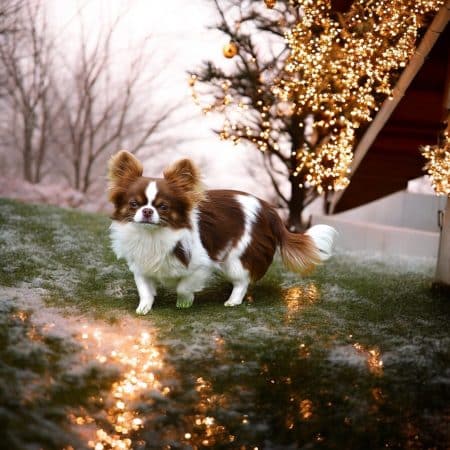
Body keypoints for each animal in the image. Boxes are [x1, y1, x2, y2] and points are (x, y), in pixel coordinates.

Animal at [107, 151, 336, 312]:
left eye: (163, 207)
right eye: (134, 204)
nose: (147, 211)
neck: (152, 235)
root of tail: (270, 210)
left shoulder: (202, 264)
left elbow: (184, 286)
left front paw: (184, 301)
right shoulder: (140, 265)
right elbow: (144, 289)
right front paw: (144, 307)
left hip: (236, 258)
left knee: (242, 280)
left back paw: (233, 300)